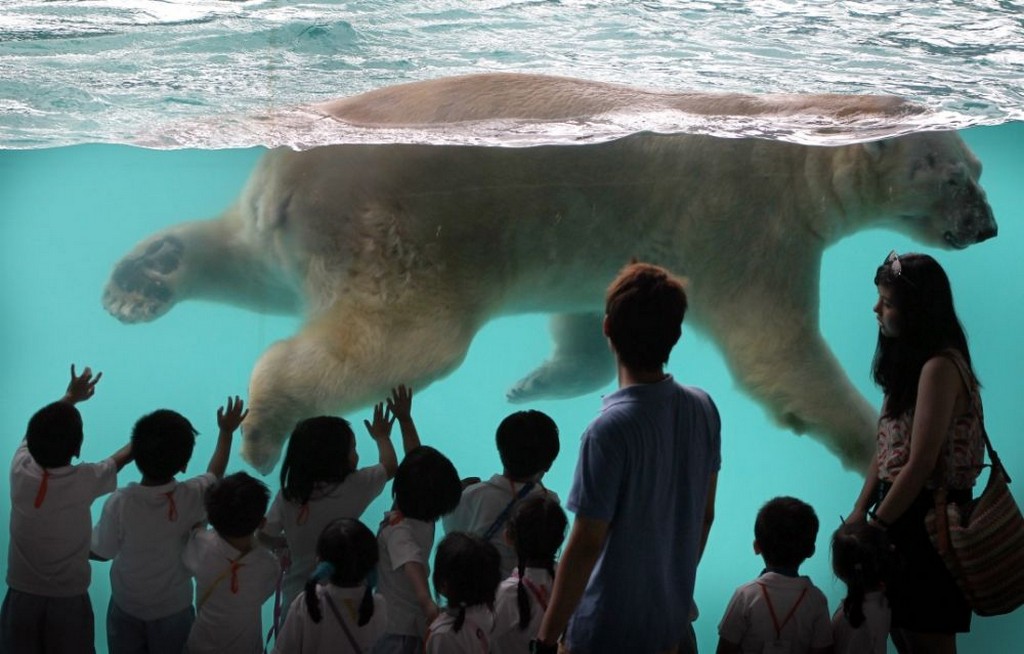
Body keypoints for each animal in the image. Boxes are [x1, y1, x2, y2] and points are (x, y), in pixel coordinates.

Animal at [102, 73, 997, 474]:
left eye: (979, 166)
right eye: (955, 174)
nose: (990, 228)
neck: (794, 146)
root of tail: (290, 175)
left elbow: (591, 322)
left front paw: (536, 381)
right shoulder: (750, 232)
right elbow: (778, 354)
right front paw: (868, 442)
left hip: (300, 226)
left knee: (250, 259)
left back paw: (143, 278)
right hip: (403, 236)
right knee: (401, 340)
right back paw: (262, 428)